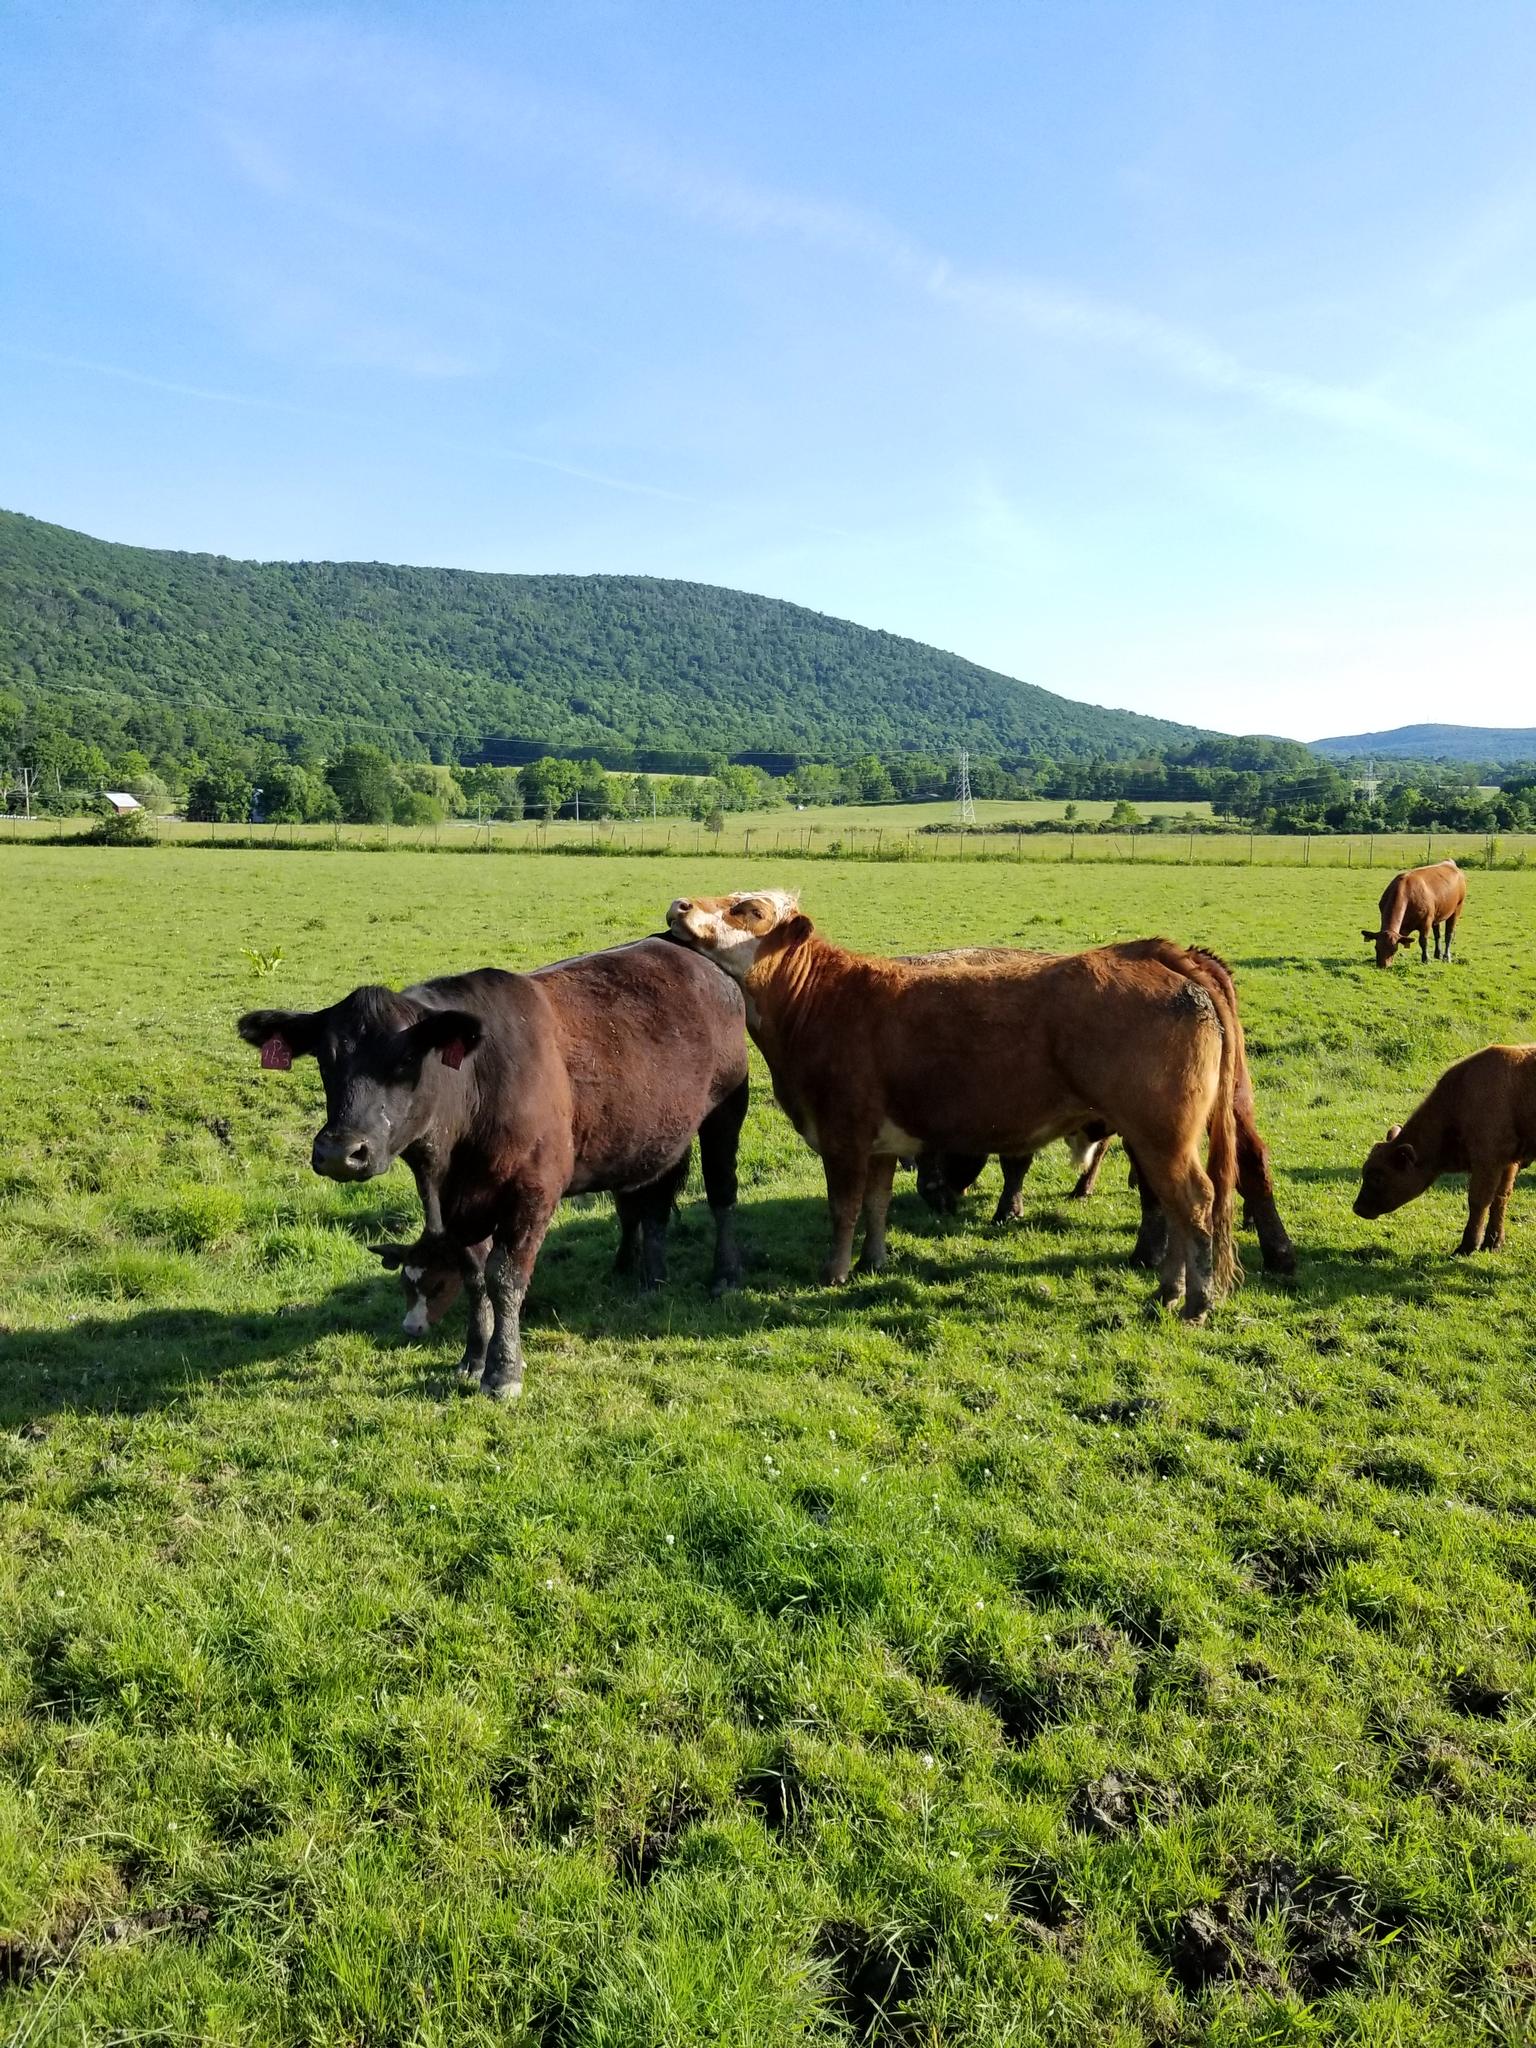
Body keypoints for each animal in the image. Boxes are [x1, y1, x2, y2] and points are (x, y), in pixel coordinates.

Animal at [237, 937, 749, 1400]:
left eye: (406, 1058)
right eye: (325, 1060)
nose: (341, 1152)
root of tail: (690, 955)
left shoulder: (533, 1193)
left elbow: (505, 1278)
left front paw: (503, 1372)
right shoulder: (455, 1206)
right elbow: (474, 1276)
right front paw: (472, 1358)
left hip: (725, 1115)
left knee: (721, 1193)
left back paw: (724, 1275)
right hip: (654, 1138)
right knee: (650, 1206)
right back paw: (648, 1278)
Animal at [666, 891, 1246, 1322]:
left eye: (748, 909)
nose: (679, 905)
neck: (823, 999)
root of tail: (1151, 954)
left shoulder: (843, 1137)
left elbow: (843, 1209)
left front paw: (834, 1274)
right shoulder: (881, 1144)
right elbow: (877, 1205)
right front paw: (874, 1262)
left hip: (1160, 1134)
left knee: (1192, 1202)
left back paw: (1193, 1303)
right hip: (1160, 1139)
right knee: (1173, 1206)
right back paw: (1168, 1290)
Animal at [1353, 1045, 1536, 1253]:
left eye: (1377, 1177)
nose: (1357, 1208)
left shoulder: (1488, 1161)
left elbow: (1478, 1201)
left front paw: (1467, 1246)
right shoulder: (1508, 1163)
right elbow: (1500, 1199)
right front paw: (1493, 1243)